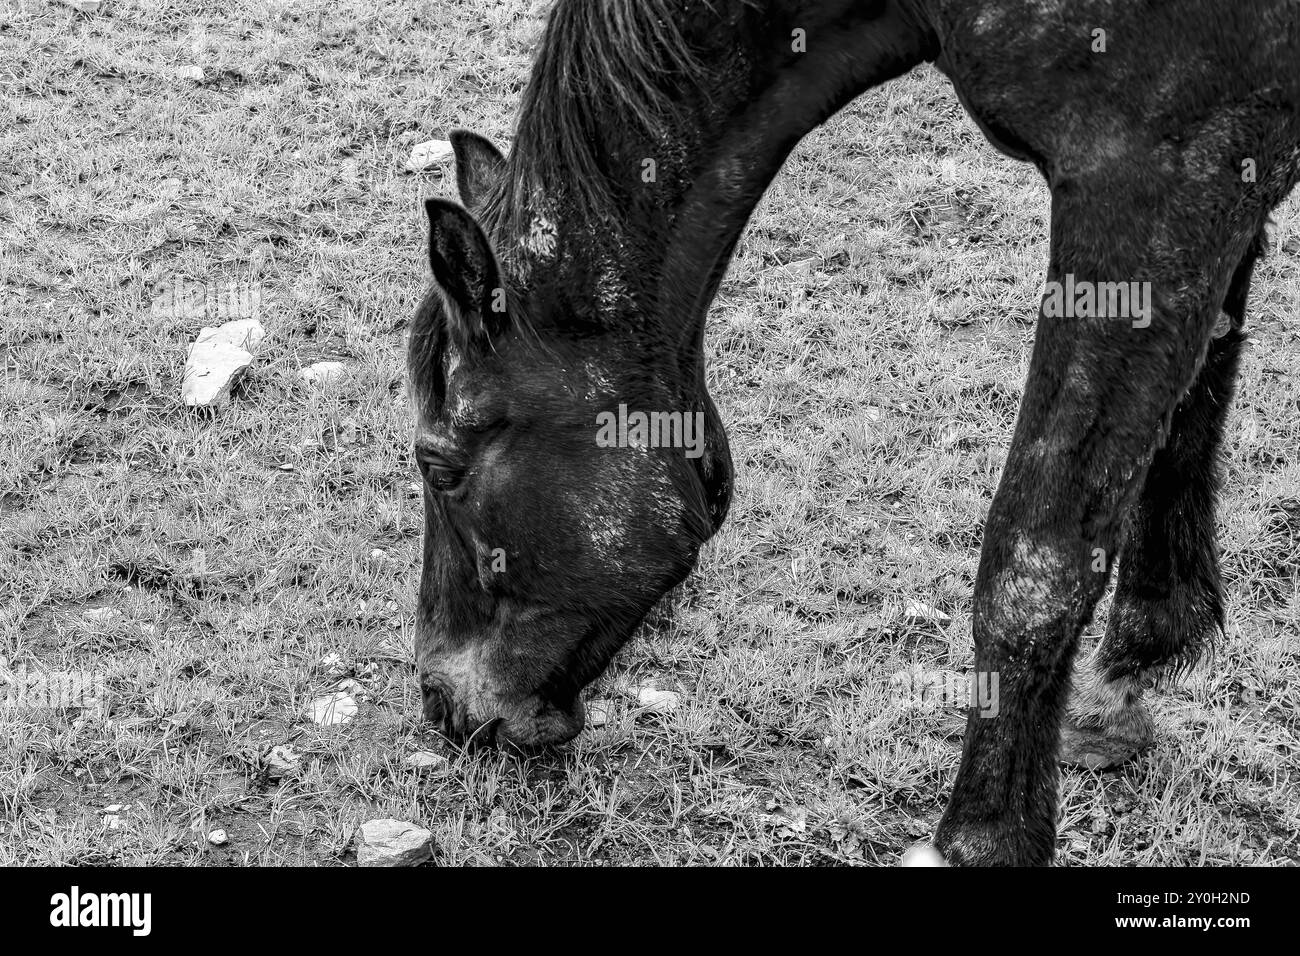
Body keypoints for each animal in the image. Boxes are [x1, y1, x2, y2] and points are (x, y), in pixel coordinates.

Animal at [407, 0, 1300, 865]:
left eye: (438, 464)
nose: (440, 702)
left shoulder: (1149, 181)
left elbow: (1035, 558)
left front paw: (983, 838)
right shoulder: (1221, 189)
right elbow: (1184, 426)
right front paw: (1131, 672)